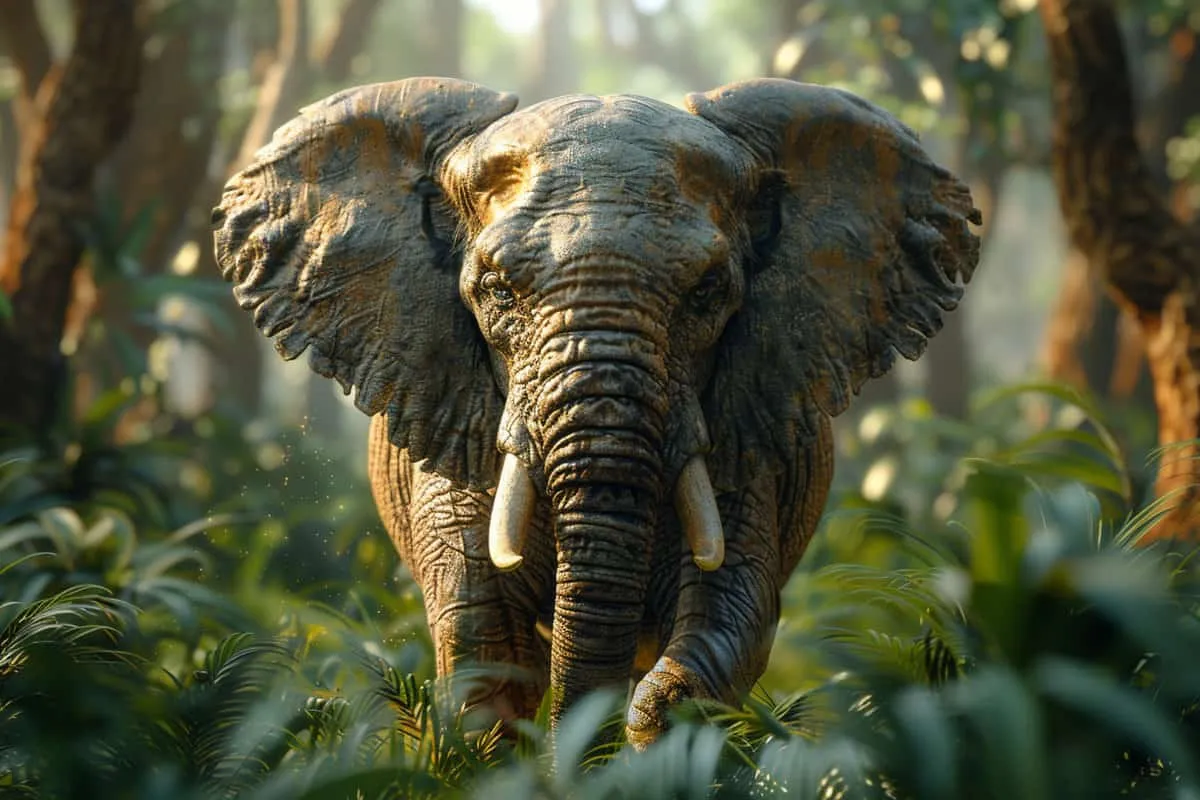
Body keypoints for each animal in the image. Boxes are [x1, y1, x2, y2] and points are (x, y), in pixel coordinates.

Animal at [212, 75, 981, 748]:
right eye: (496, 290)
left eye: (709, 292)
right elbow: (484, 653)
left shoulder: (743, 428)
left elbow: (727, 622)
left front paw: (652, 723)